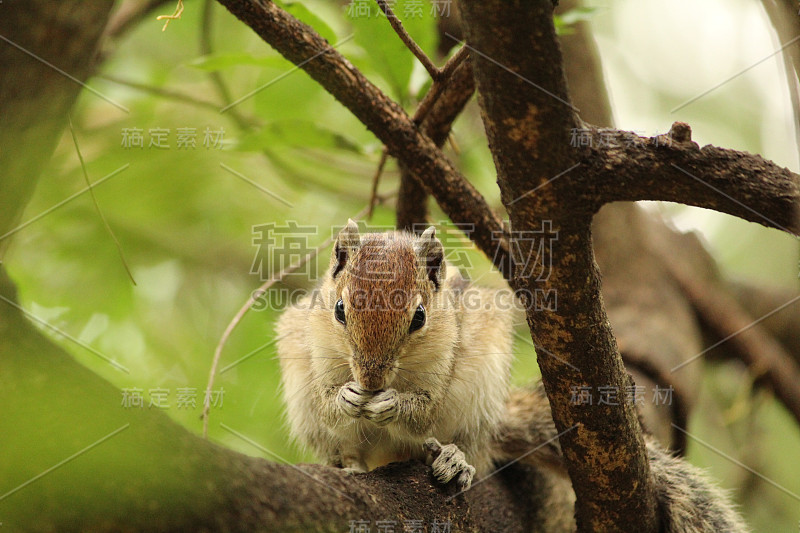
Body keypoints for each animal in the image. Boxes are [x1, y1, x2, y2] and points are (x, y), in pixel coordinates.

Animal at [276, 220, 752, 532]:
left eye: (419, 317)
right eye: (340, 310)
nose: (372, 381)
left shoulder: (447, 362)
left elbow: (423, 409)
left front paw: (394, 404)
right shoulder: (310, 349)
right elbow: (325, 398)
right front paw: (345, 398)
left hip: (477, 401)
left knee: (463, 445)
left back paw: (452, 460)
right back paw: (350, 463)